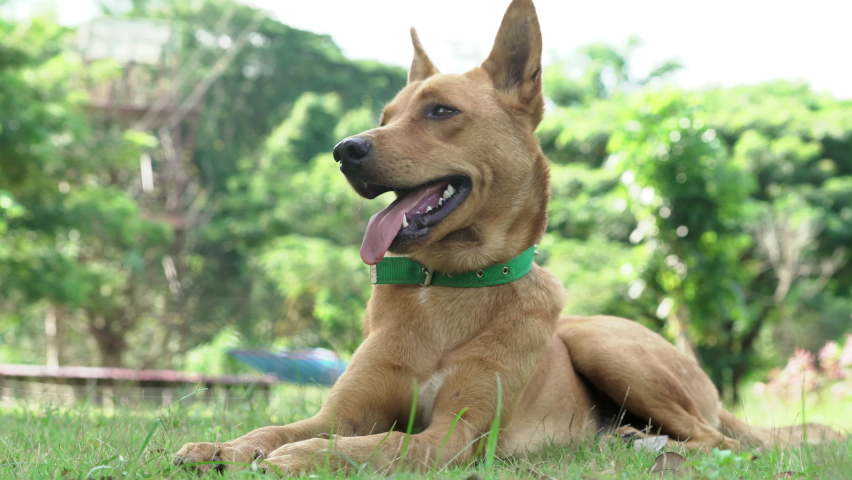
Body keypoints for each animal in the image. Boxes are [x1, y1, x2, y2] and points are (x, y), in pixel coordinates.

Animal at [175, 0, 844, 472]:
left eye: (441, 111)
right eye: (386, 117)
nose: (345, 151)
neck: (443, 287)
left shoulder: (450, 436)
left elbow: (383, 443)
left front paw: (300, 459)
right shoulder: (340, 410)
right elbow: (278, 428)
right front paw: (223, 445)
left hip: (605, 344)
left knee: (723, 442)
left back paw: (648, 446)